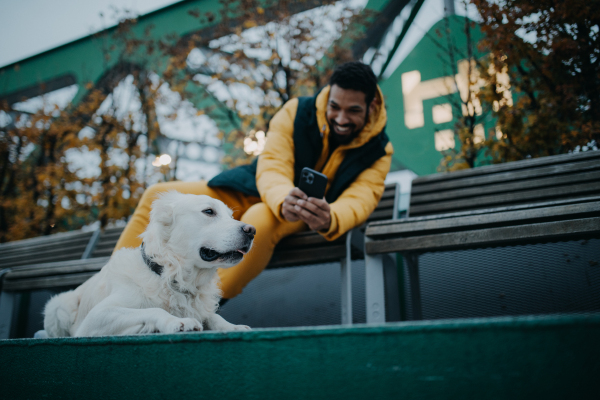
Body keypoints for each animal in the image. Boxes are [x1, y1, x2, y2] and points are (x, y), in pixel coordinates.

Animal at [43, 192, 254, 336]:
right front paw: (177, 322)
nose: (252, 230)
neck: (168, 275)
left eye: (230, 216)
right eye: (208, 211)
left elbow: (214, 316)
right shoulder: (96, 317)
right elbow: (153, 309)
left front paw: (232, 326)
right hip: (57, 306)